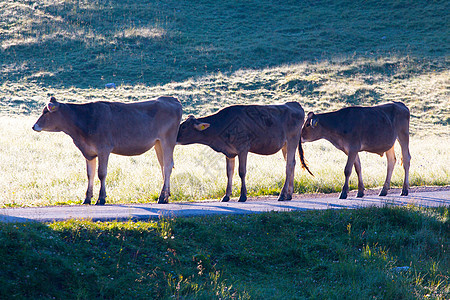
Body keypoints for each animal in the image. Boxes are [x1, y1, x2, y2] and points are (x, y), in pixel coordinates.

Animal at [31, 97, 184, 205]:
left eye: (46, 112)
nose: (34, 126)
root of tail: (171, 99)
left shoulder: (104, 149)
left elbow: (101, 173)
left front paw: (101, 199)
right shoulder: (89, 152)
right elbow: (90, 174)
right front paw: (87, 199)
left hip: (167, 140)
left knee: (168, 166)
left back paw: (162, 197)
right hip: (158, 143)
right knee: (163, 166)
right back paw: (166, 195)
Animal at [177, 102, 312, 203]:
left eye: (183, 127)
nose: (175, 137)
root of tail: (294, 104)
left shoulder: (243, 148)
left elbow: (241, 172)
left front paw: (243, 196)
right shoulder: (229, 152)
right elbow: (229, 173)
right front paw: (226, 196)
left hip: (292, 140)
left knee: (288, 165)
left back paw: (282, 195)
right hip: (285, 145)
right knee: (293, 163)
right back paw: (289, 194)